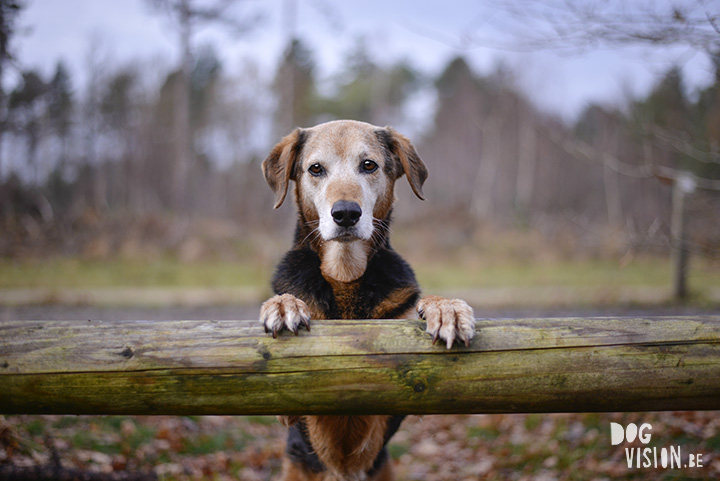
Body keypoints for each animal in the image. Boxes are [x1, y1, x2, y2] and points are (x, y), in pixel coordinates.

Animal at [260, 118, 478, 478]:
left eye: (369, 165)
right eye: (316, 169)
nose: (346, 213)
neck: (346, 274)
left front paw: (447, 309)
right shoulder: (286, 406)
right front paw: (284, 305)